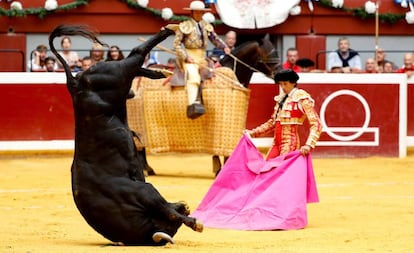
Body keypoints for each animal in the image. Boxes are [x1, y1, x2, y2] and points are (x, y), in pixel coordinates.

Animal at [48, 25, 202, 245]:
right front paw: (194, 222)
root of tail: (75, 85)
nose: (184, 205)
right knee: (136, 55)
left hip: (118, 75)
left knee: (136, 58)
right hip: (118, 74)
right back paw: (170, 32)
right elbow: (170, 212)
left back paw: (165, 51)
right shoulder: (146, 191)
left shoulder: (146, 194)